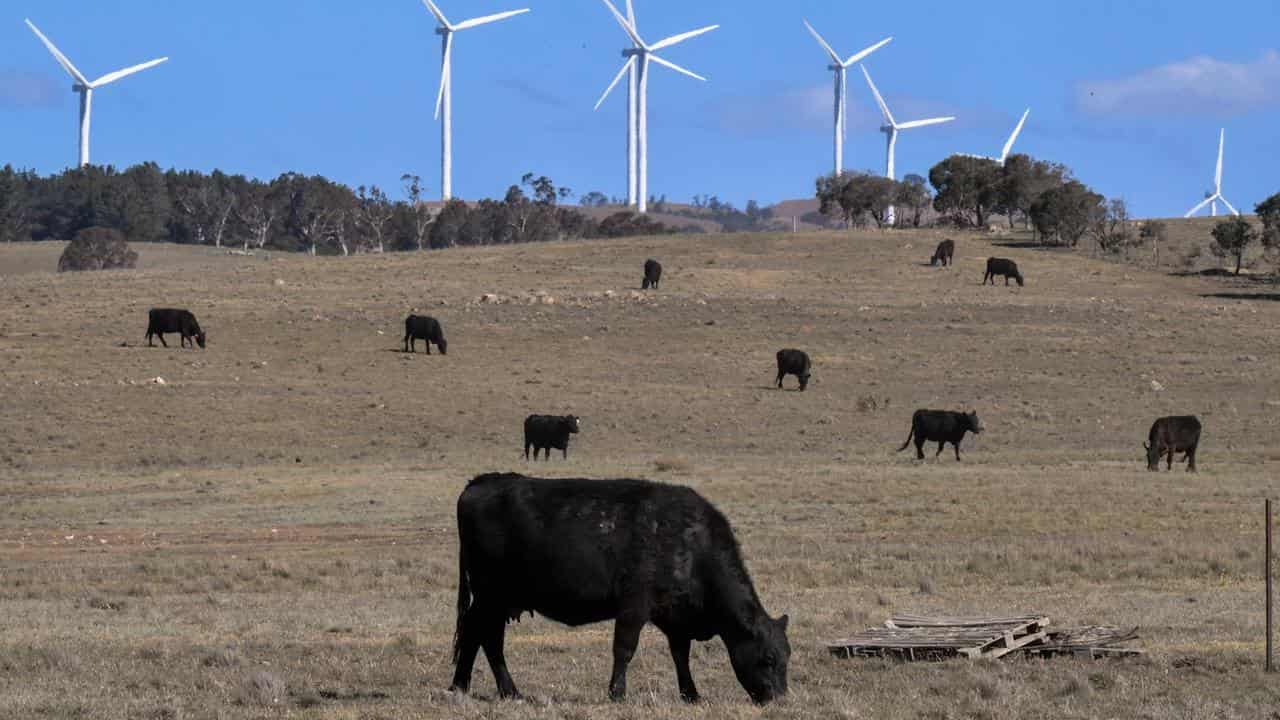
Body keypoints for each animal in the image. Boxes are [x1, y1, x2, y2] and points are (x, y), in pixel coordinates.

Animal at [450, 471, 788, 702]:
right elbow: (624, 649)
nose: (779, 698)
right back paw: (502, 690)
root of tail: (481, 482)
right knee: (485, 637)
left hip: (496, 600)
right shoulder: (634, 606)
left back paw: (463, 687)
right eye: (769, 658)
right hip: (490, 596)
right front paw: (617, 693)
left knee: (476, 636)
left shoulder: (675, 617)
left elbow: (680, 655)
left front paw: (690, 694)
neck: (691, 544)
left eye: (788, 656)